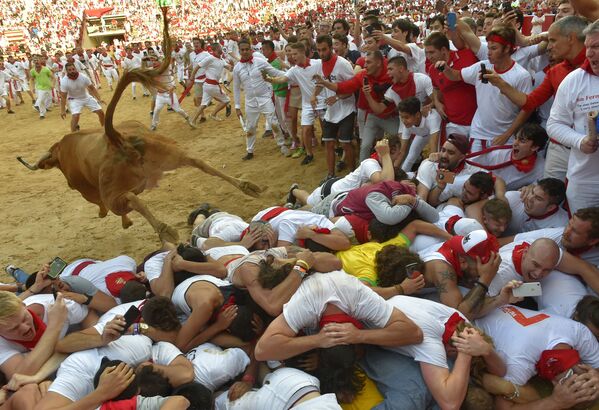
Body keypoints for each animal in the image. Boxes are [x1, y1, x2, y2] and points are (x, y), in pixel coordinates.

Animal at [15, 7, 260, 243]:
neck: (63, 151)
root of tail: (114, 138)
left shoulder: (86, 190)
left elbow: (102, 205)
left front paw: (119, 220)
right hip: (168, 153)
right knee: (198, 162)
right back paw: (248, 186)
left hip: (116, 191)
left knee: (129, 200)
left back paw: (164, 230)